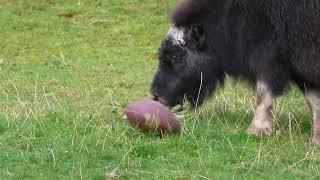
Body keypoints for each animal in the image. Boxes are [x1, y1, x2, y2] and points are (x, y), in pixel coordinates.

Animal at [151, 0, 320, 144]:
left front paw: (256, 130)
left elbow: (263, 92)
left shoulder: (270, 58)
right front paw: (315, 140)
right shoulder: (299, 69)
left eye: (174, 56)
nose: (155, 95)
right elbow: (313, 101)